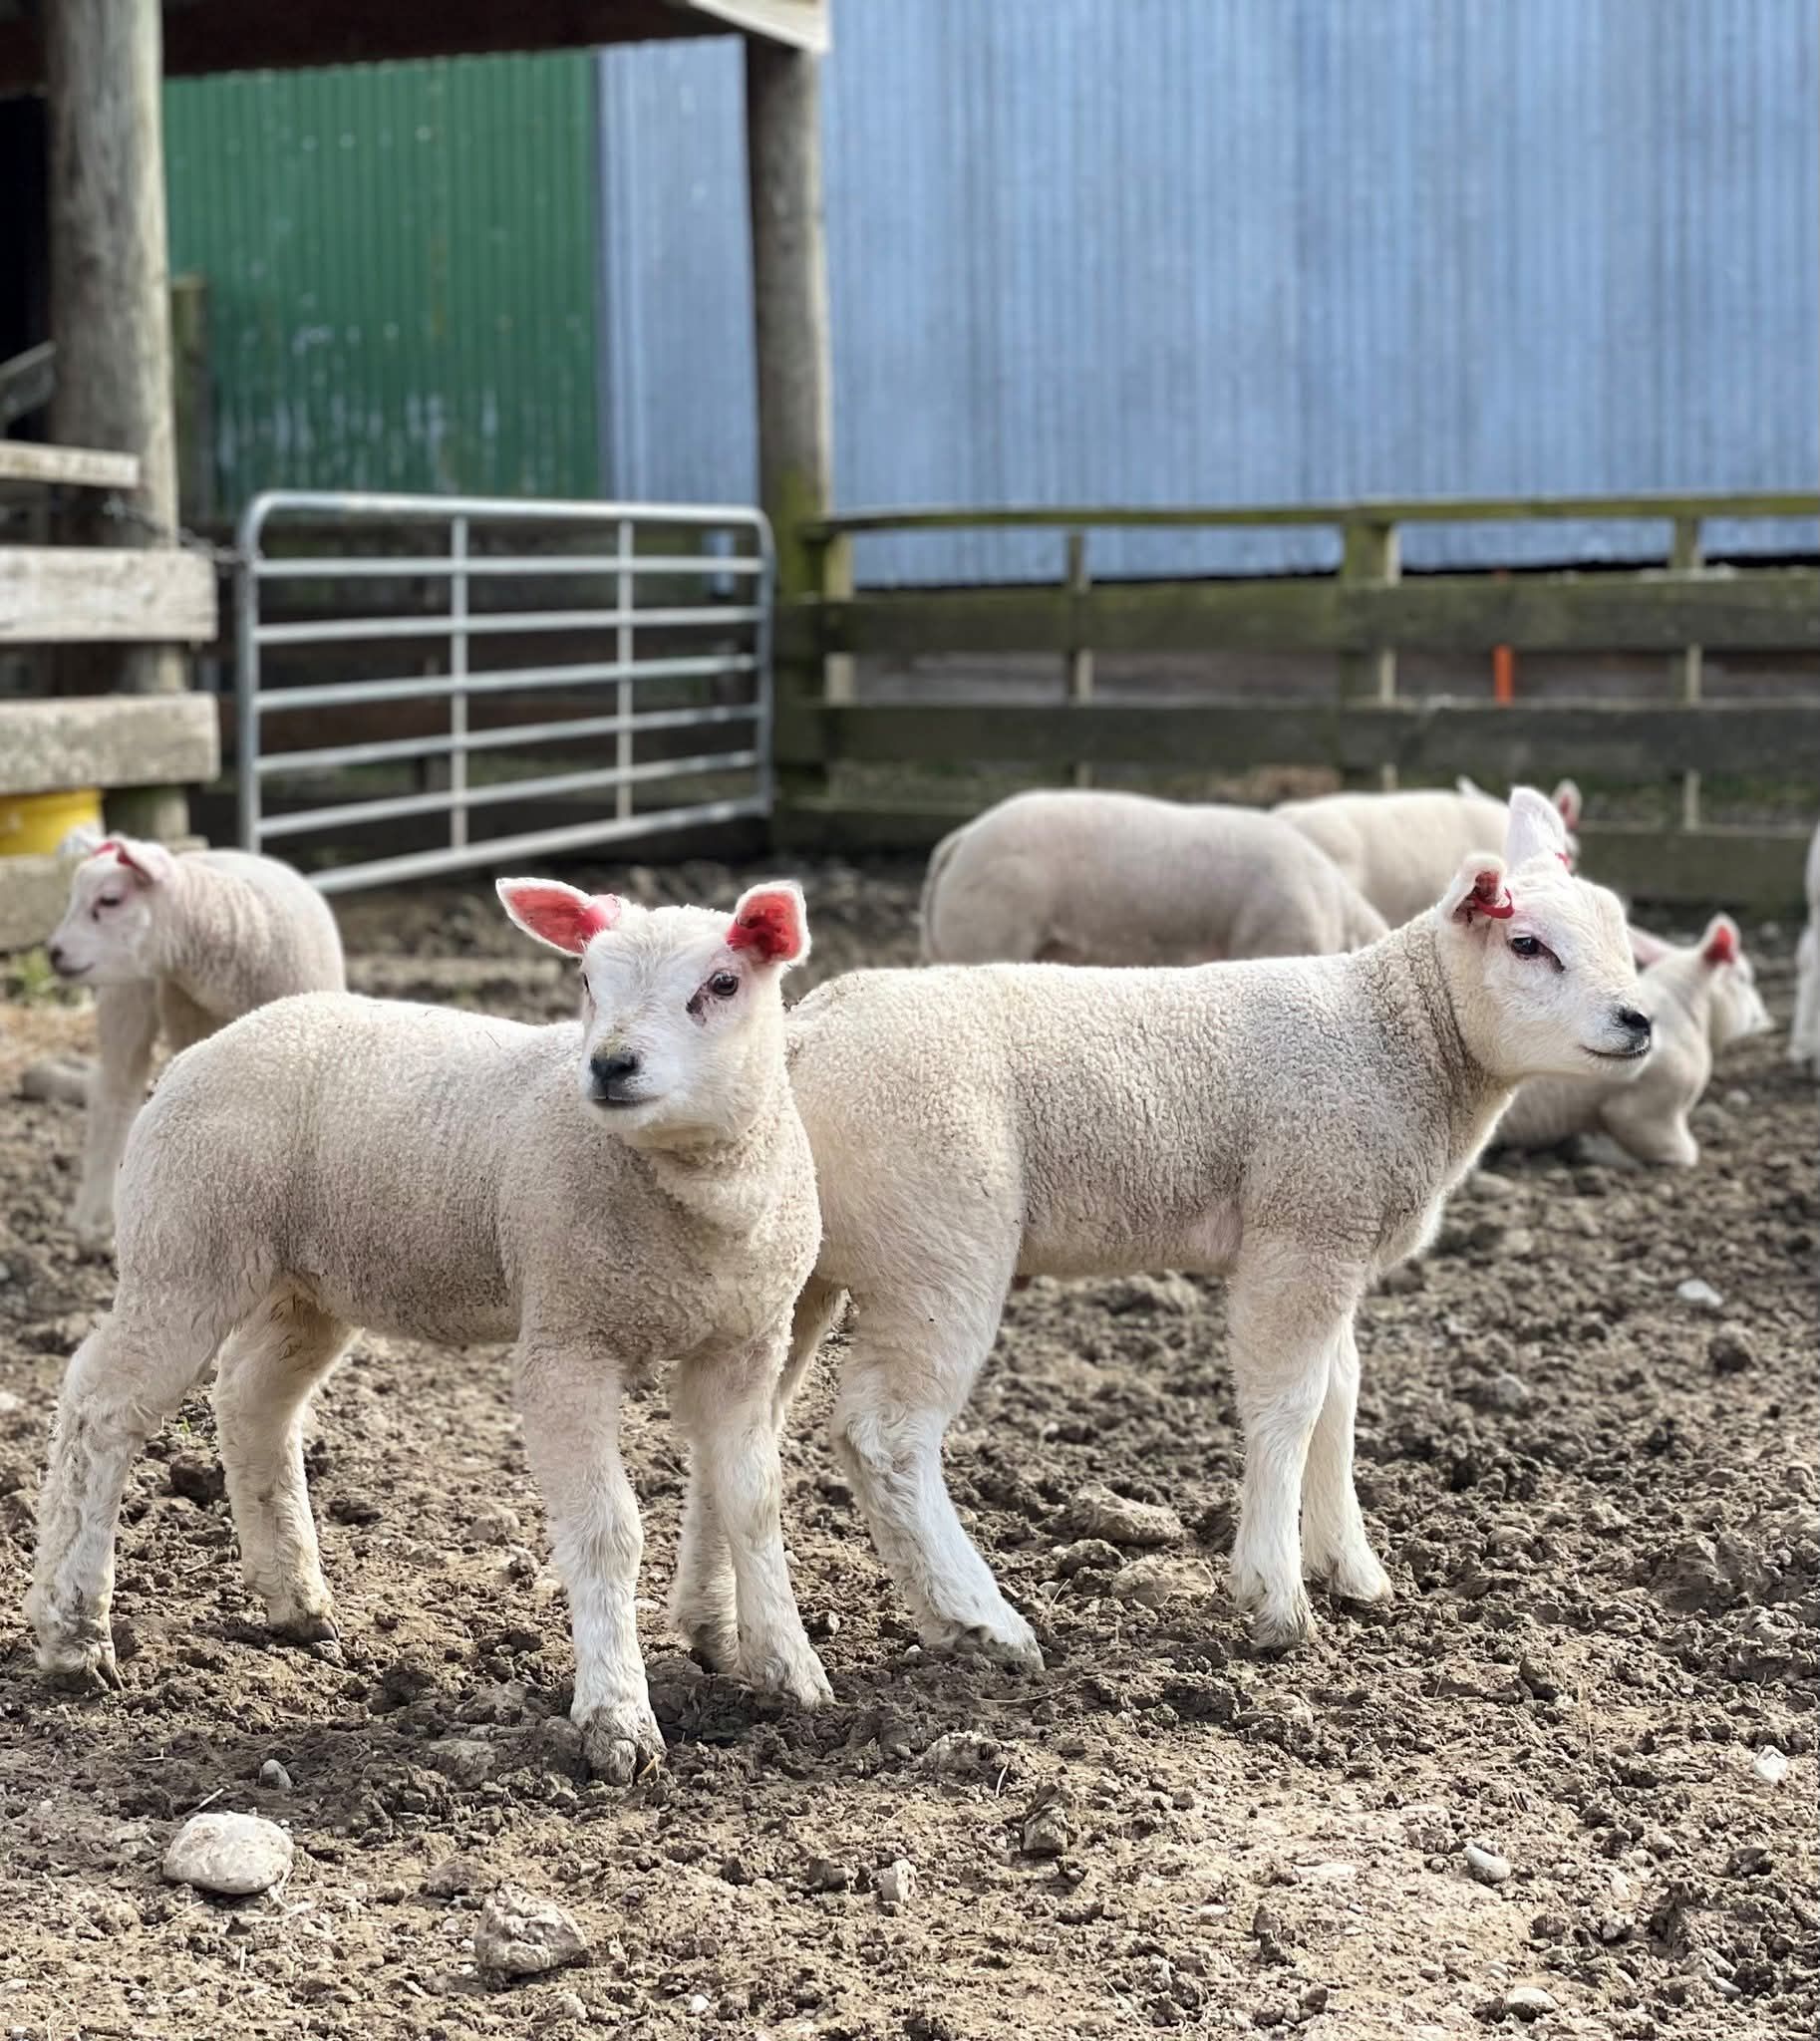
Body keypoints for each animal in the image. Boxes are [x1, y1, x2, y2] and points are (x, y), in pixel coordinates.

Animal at [27, 879, 828, 1783]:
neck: (699, 1206)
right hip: (185, 1248)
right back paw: (73, 1633)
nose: (611, 1065)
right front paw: (618, 1719)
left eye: (723, 984)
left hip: (309, 1281)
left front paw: (791, 1672)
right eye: (588, 979)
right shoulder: (566, 1337)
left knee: (253, 1398)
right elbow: (607, 1529)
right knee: (100, 1406)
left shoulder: (748, 1343)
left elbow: (755, 1504)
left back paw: (295, 1601)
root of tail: (214, 1044)